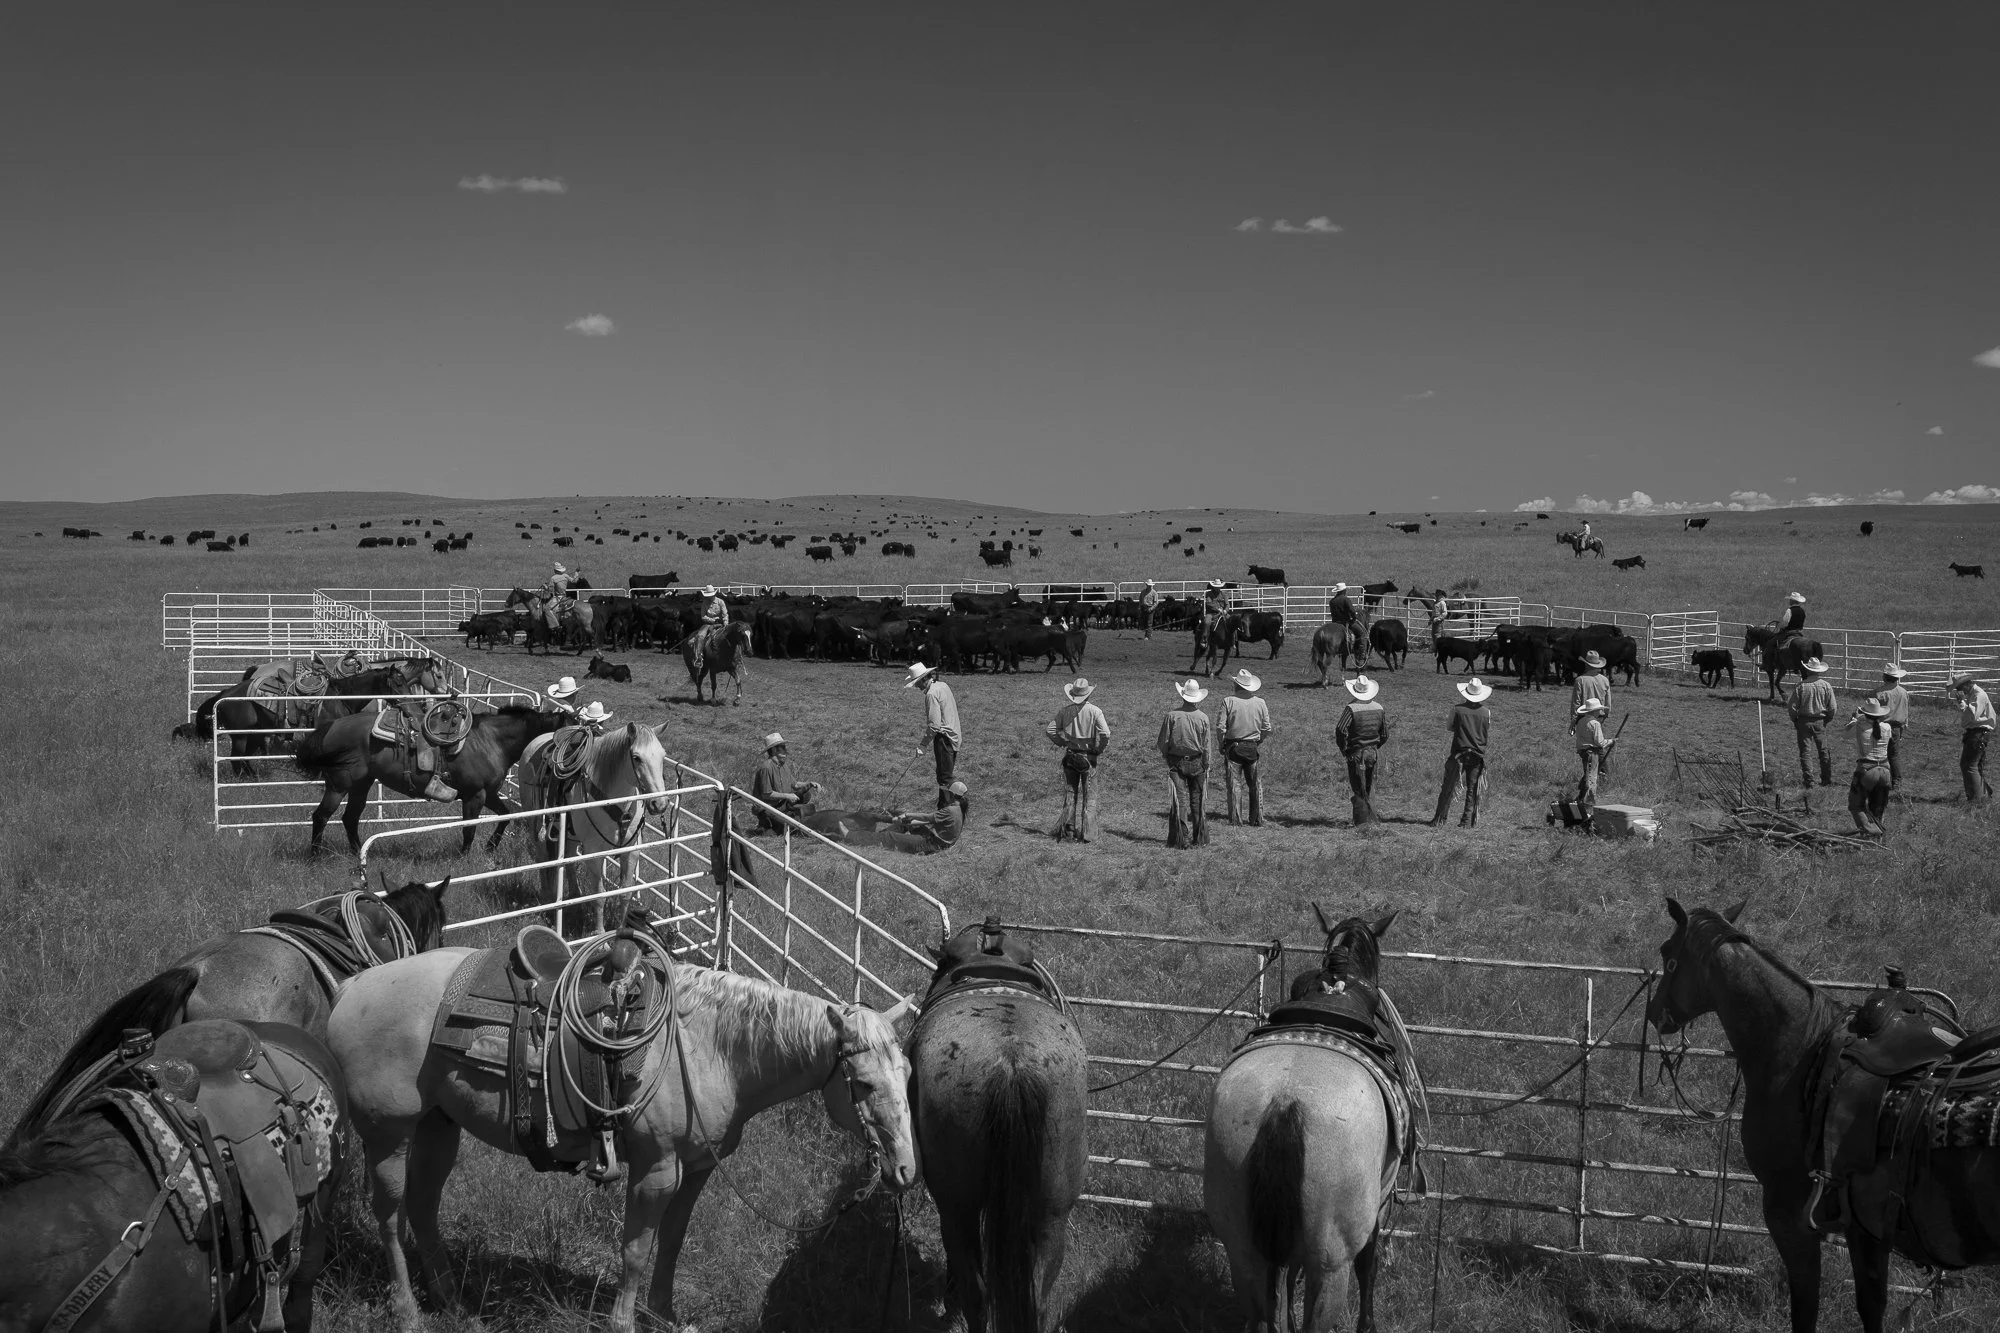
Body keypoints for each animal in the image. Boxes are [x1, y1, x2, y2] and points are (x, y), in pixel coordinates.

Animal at [294, 705, 564, 853]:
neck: (492, 740)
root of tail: (330, 727)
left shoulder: (488, 793)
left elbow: (505, 816)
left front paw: (490, 847)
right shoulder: (474, 795)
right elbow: (469, 828)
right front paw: (464, 856)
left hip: (362, 784)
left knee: (350, 818)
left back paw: (355, 852)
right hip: (339, 784)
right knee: (321, 816)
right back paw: (315, 855)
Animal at [327, 950, 920, 1333]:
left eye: (908, 1073)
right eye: (864, 1084)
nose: (905, 1172)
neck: (708, 1048)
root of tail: (350, 988)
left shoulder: (695, 1168)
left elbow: (672, 1241)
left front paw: (663, 1314)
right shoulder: (655, 1169)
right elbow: (635, 1248)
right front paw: (624, 1321)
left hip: (437, 1125)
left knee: (424, 1207)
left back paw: (449, 1299)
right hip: (388, 1134)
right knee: (390, 1215)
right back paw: (407, 1310)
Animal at [512, 720, 673, 934]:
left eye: (663, 756)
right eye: (636, 758)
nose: (659, 804)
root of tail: (536, 741)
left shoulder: (631, 850)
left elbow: (625, 892)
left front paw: (621, 930)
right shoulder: (594, 853)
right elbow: (599, 896)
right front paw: (599, 933)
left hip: (570, 833)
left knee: (569, 859)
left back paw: (575, 895)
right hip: (535, 822)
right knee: (542, 857)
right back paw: (547, 896)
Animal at [1649, 899, 2000, 1333]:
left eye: (1667, 951)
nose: (1654, 1011)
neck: (1800, 1046)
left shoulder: (1789, 1217)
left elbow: (1806, 1305)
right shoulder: (1867, 1228)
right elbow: (1871, 1304)